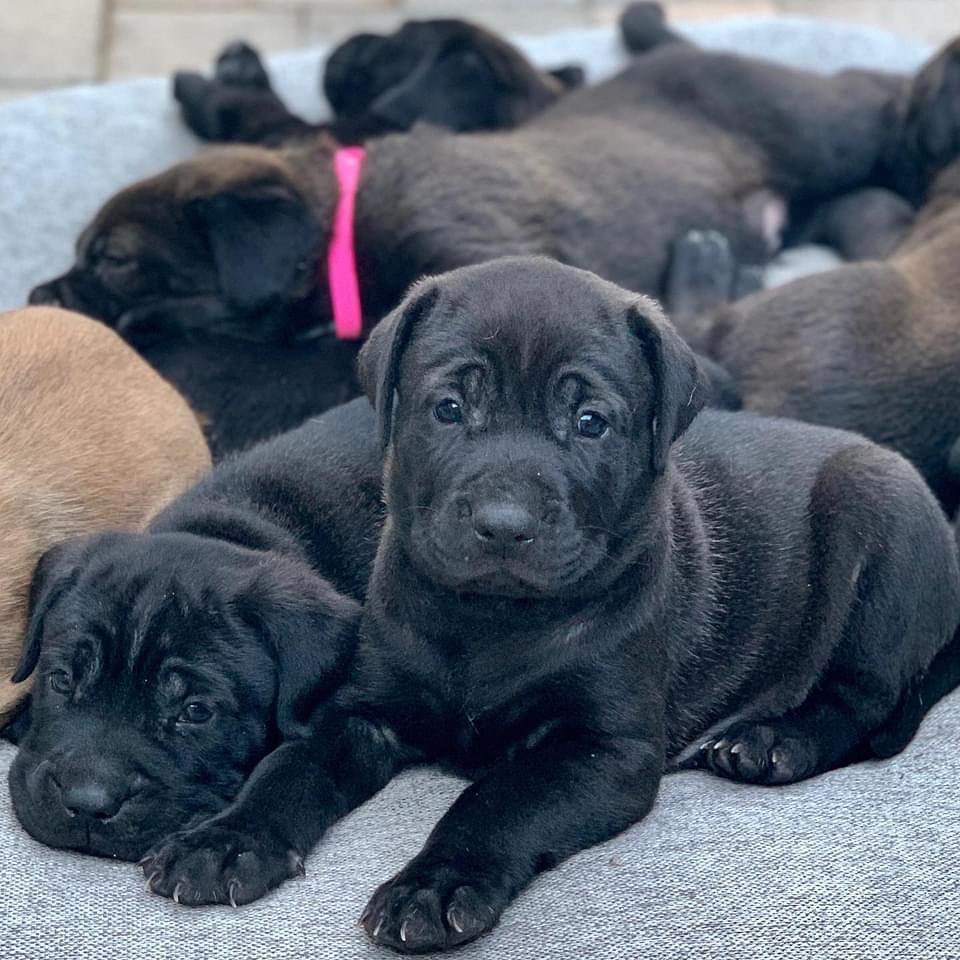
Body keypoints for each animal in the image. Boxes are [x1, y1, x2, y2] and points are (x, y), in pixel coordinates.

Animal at [8, 402, 382, 880]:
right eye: (60, 680)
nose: (87, 804)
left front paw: (226, 845)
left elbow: (294, 767)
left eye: (196, 712)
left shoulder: (353, 721)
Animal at [133, 256, 960, 952]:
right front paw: (226, 840)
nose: (505, 524)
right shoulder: (360, 710)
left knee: (863, 696)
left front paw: (435, 886)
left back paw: (773, 741)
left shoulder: (602, 750)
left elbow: (499, 800)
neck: (489, 619)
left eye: (590, 422)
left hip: (877, 522)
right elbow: (289, 766)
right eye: (448, 408)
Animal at [174, 20, 584, 147]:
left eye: (393, 46)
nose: (348, 43)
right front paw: (243, 64)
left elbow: (251, 109)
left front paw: (207, 83)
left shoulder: (291, 137)